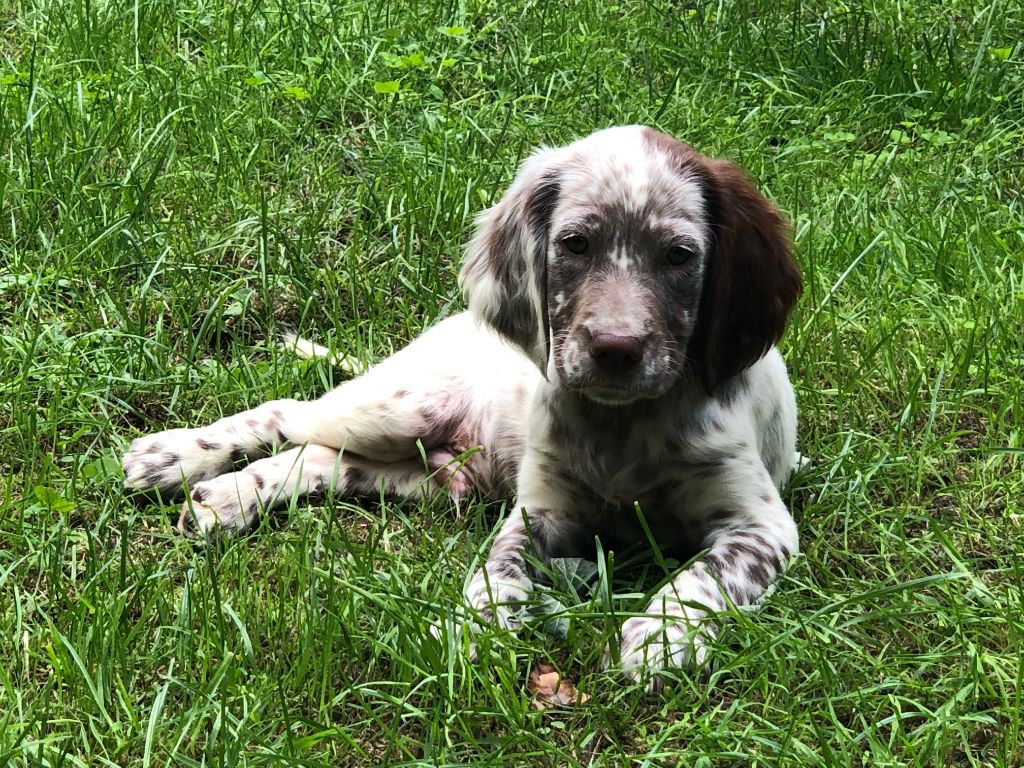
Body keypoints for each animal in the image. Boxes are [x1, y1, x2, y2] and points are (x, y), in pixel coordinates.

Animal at [123, 128, 802, 692]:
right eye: (575, 244)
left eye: (680, 256)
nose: (616, 349)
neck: (622, 426)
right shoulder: (540, 514)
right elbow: (497, 572)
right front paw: (468, 631)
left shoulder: (760, 526)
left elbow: (706, 577)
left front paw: (662, 635)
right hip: (399, 408)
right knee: (286, 413)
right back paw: (179, 459)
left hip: (426, 476)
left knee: (318, 458)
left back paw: (226, 499)